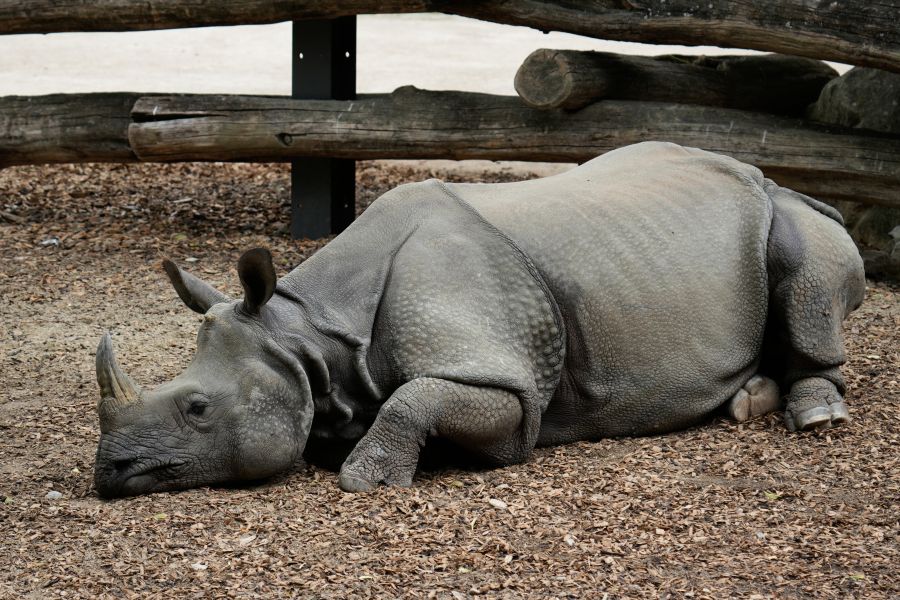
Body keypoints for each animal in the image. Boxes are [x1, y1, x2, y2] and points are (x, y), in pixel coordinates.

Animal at [93, 142, 865, 498]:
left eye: (196, 407)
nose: (108, 471)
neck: (306, 333)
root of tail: (766, 174)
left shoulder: (505, 381)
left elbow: (416, 397)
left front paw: (366, 478)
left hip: (783, 212)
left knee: (804, 277)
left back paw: (816, 416)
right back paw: (747, 401)